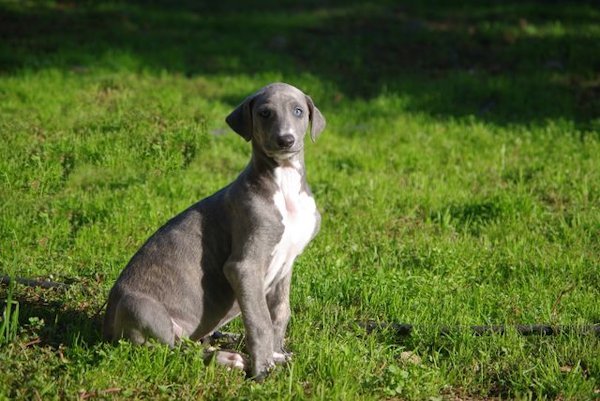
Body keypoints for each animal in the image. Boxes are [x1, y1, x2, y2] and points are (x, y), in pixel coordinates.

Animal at [103, 82, 325, 380]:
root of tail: (106, 326)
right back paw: (228, 358)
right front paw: (262, 369)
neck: (285, 183)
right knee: (171, 352)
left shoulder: (286, 264)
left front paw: (277, 354)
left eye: (298, 111)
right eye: (265, 113)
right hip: (141, 308)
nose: (285, 140)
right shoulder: (243, 266)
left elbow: (280, 312)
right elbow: (260, 320)